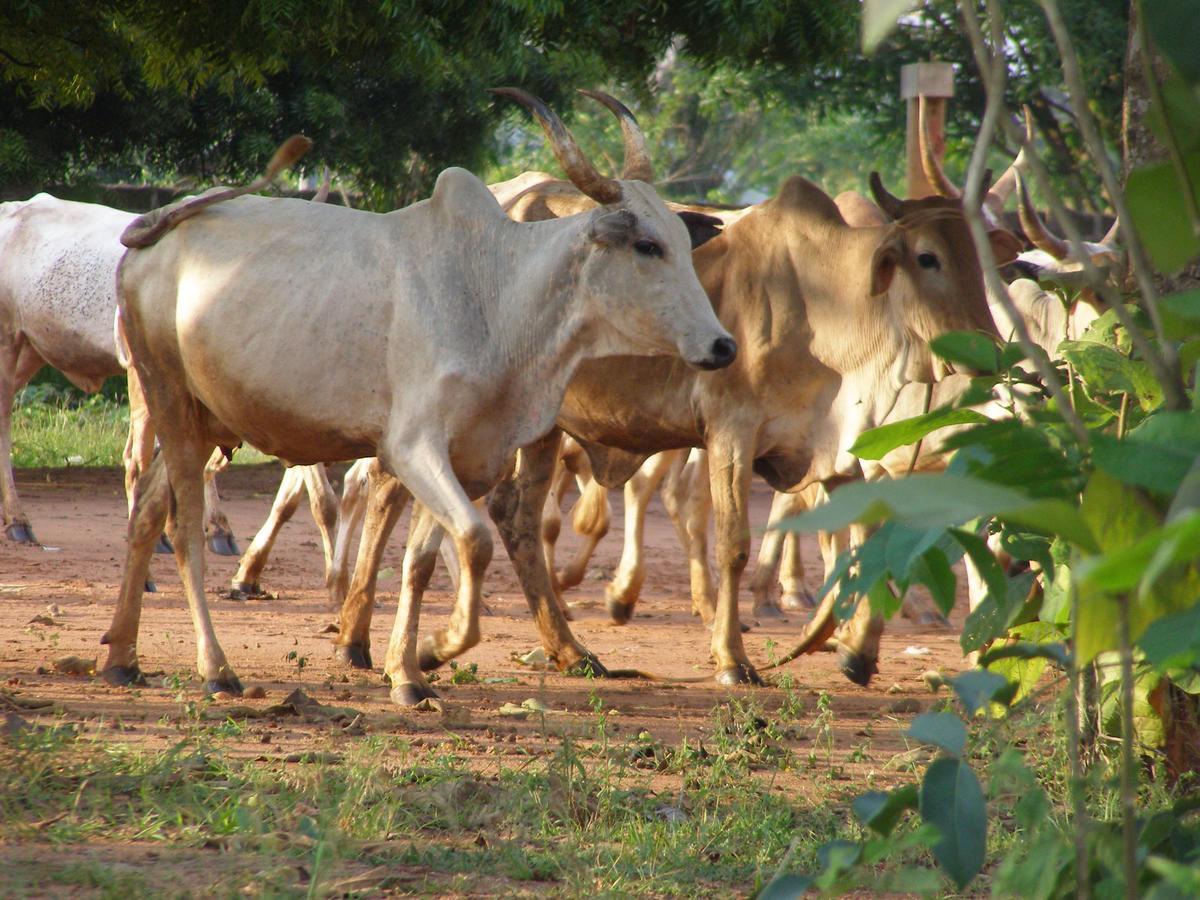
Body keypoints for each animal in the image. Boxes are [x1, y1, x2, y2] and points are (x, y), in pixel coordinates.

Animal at [103, 95, 734, 710]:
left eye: (684, 245)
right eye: (647, 246)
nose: (722, 345)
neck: (498, 295)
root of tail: (150, 235)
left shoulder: (467, 457)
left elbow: (422, 561)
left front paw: (407, 672)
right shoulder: (413, 447)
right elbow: (475, 542)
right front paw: (437, 648)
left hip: (205, 418)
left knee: (146, 511)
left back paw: (121, 658)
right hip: (167, 397)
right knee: (182, 526)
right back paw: (215, 669)